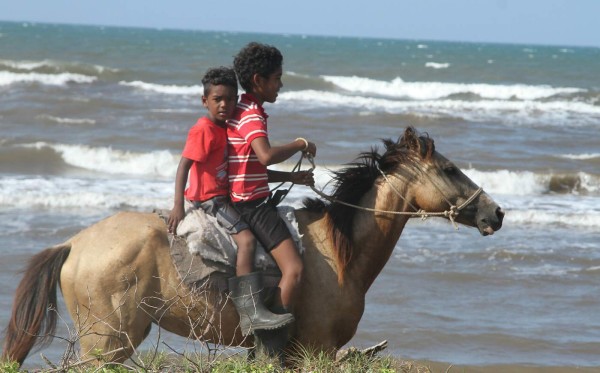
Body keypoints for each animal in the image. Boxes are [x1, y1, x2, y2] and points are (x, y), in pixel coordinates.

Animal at [2, 126, 504, 364]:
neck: (337, 253)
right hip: (104, 343)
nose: (495, 213)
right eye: (450, 170)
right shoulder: (316, 349)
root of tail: (73, 243)